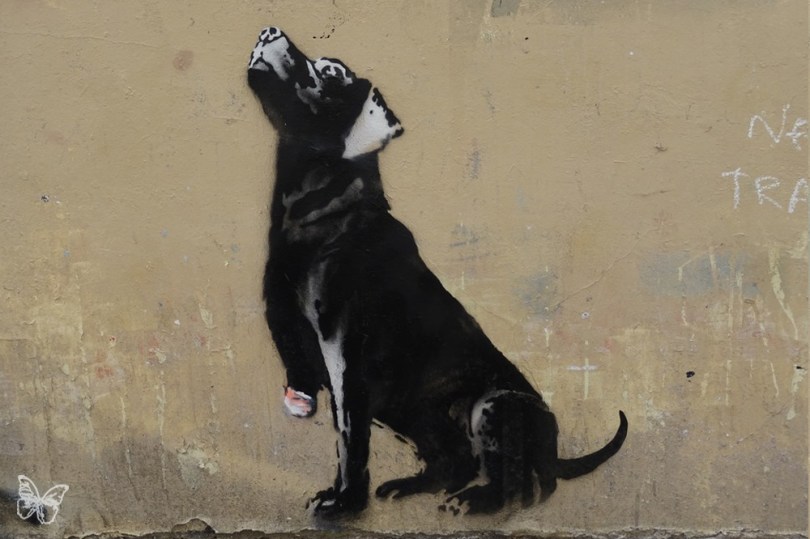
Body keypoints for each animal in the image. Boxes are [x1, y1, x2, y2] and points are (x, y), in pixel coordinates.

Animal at [247, 27, 627, 518]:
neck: (315, 213)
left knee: (525, 486)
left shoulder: (346, 357)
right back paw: (412, 486)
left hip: (494, 405)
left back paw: (476, 501)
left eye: (329, 72)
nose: (269, 31)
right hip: (414, 412)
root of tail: (555, 450)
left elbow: (349, 439)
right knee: (456, 461)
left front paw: (344, 503)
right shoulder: (287, 324)